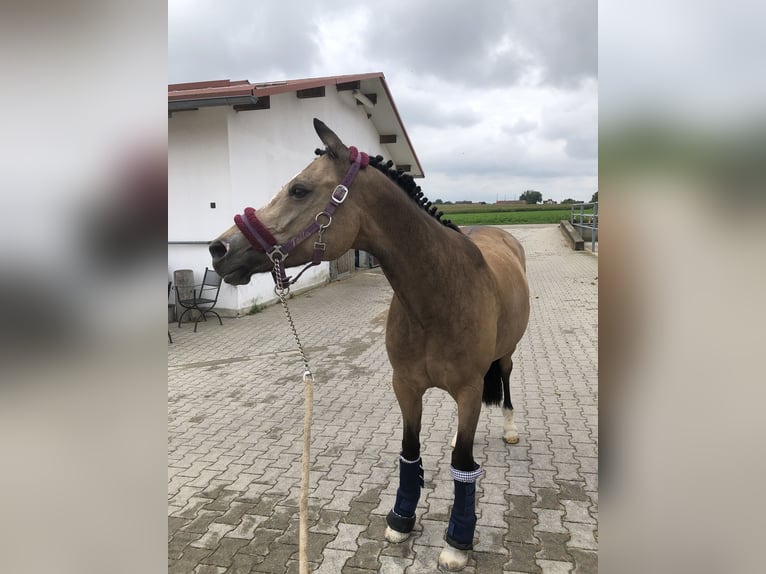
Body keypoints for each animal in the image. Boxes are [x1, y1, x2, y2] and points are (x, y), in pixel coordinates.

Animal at [210, 120, 536, 572]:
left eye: (299, 189)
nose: (219, 249)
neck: (440, 293)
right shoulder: (405, 386)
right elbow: (410, 451)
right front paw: (401, 518)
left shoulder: (469, 391)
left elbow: (462, 465)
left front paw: (458, 540)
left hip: (505, 354)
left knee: (504, 380)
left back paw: (509, 429)